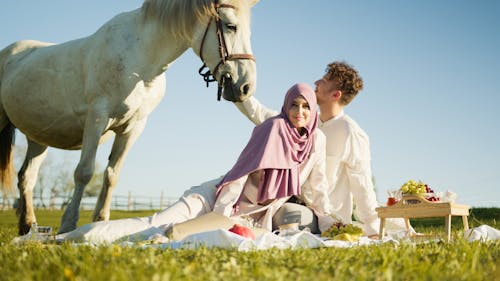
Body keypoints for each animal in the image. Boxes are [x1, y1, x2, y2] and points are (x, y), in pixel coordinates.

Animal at [0, 0, 258, 233]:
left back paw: (27, 225)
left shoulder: (133, 128)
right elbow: (84, 172)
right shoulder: (96, 118)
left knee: (27, 177)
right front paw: (68, 225)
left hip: (38, 138)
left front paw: (100, 222)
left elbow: (112, 175)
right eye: (230, 26)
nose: (246, 87)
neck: (140, 61)